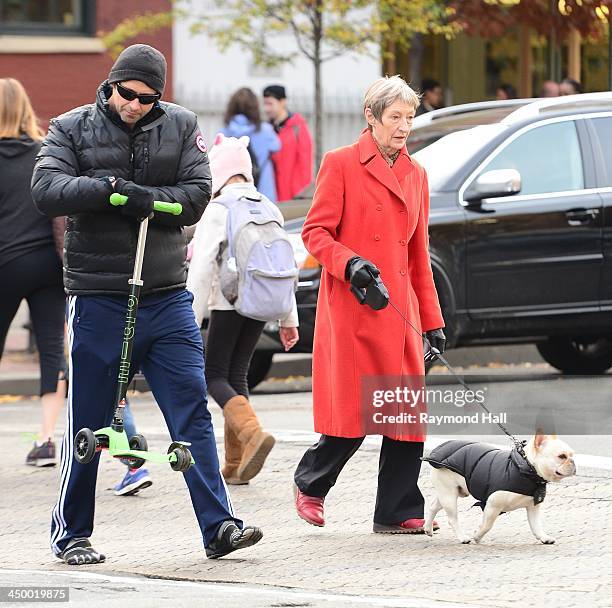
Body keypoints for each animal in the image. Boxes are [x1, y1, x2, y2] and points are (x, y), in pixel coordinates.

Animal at [424, 434, 576, 544]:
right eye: (562, 456)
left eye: (572, 455)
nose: (573, 462)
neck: (525, 467)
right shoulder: (492, 505)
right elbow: (487, 525)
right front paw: (477, 536)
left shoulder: (533, 507)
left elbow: (536, 525)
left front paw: (543, 537)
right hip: (449, 494)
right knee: (452, 518)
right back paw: (462, 537)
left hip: (450, 492)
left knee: (433, 506)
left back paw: (427, 528)